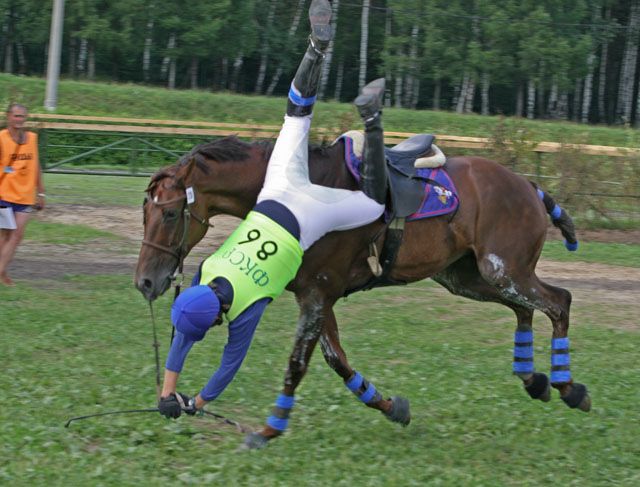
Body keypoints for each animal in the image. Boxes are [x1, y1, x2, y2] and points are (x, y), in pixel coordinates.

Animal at [135, 135, 592, 448]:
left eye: (171, 213)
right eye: (144, 212)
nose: (145, 281)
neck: (295, 195)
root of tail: (528, 185)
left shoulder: (318, 295)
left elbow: (297, 365)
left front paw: (268, 430)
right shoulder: (316, 296)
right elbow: (337, 361)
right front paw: (392, 408)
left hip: (503, 271)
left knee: (559, 302)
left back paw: (568, 387)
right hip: (467, 277)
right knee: (526, 310)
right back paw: (533, 379)